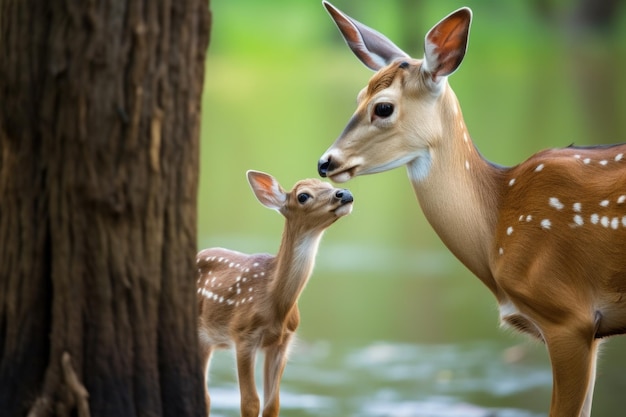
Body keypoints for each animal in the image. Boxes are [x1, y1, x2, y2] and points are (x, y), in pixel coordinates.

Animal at [196, 169, 352, 416]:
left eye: (327, 184)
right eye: (303, 196)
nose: (344, 193)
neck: (275, 302)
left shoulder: (282, 342)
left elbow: (273, 404)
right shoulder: (242, 335)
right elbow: (250, 402)